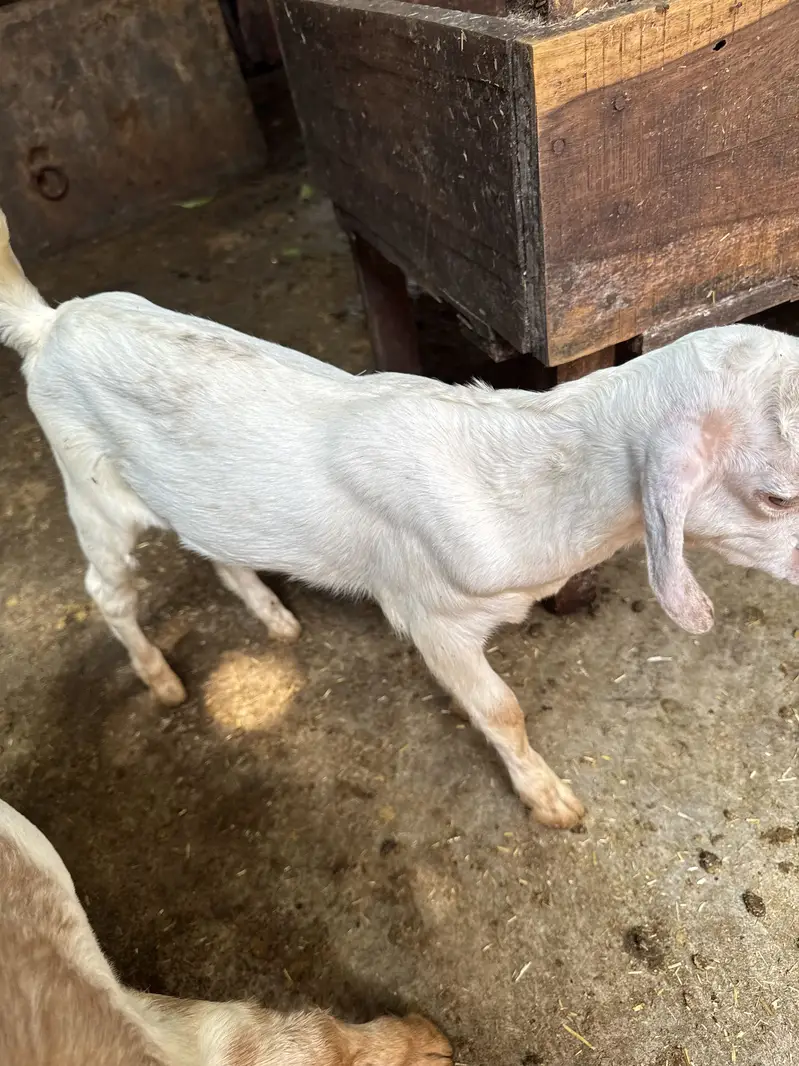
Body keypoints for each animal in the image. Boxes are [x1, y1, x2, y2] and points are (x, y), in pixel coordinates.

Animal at [3, 207, 799, 829]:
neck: (527, 489)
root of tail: (51, 324)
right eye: (777, 495)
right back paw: (162, 680)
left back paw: (276, 621)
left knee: (214, 550)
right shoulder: (428, 614)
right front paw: (551, 803)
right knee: (106, 588)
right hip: (88, 483)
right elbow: (501, 708)